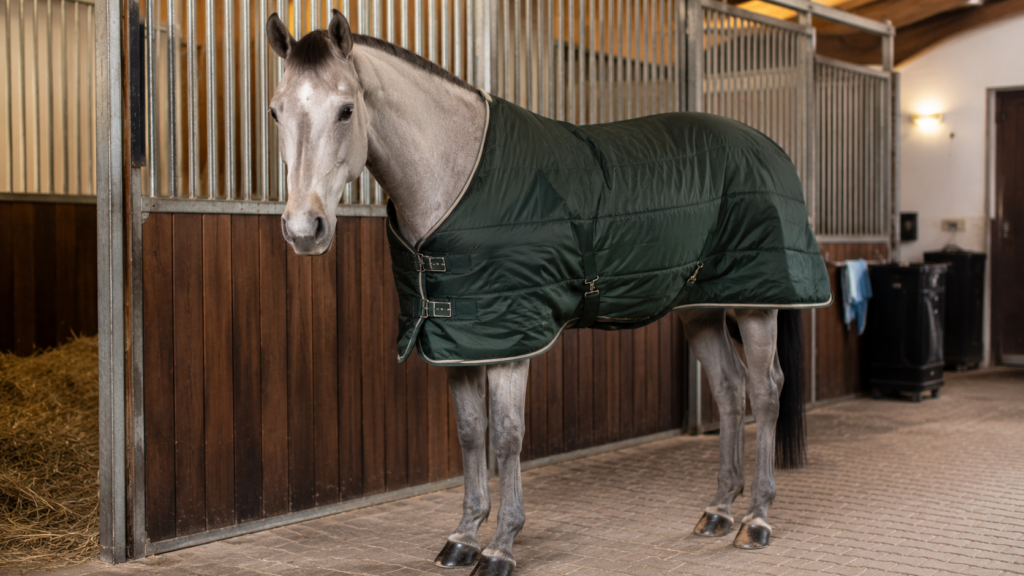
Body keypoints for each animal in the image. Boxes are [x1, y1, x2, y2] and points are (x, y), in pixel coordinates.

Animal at [266, 10, 821, 576]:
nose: (304, 229)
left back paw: (757, 519)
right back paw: (719, 511)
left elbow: (507, 435)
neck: (456, 175)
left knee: (766, 392)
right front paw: (463, 536)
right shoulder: (459, 337)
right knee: (730, 390)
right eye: (275, 111)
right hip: (700, 308)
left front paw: (500, 546)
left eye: (346, 109)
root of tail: (770, 147)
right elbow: (471, 432)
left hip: (756, 304)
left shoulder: (510, 339)